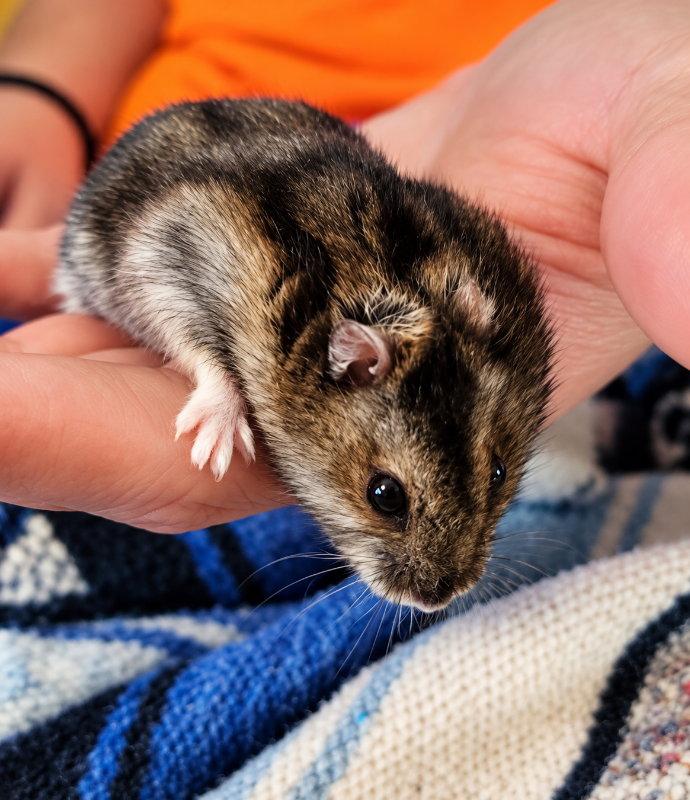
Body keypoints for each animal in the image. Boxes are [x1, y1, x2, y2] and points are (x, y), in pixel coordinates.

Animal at [55, 98, 553, 612]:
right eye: (384, 495)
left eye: (498, 474)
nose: (438, 601)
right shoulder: (165, 258)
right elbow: (200, 348)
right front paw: (215, 450)